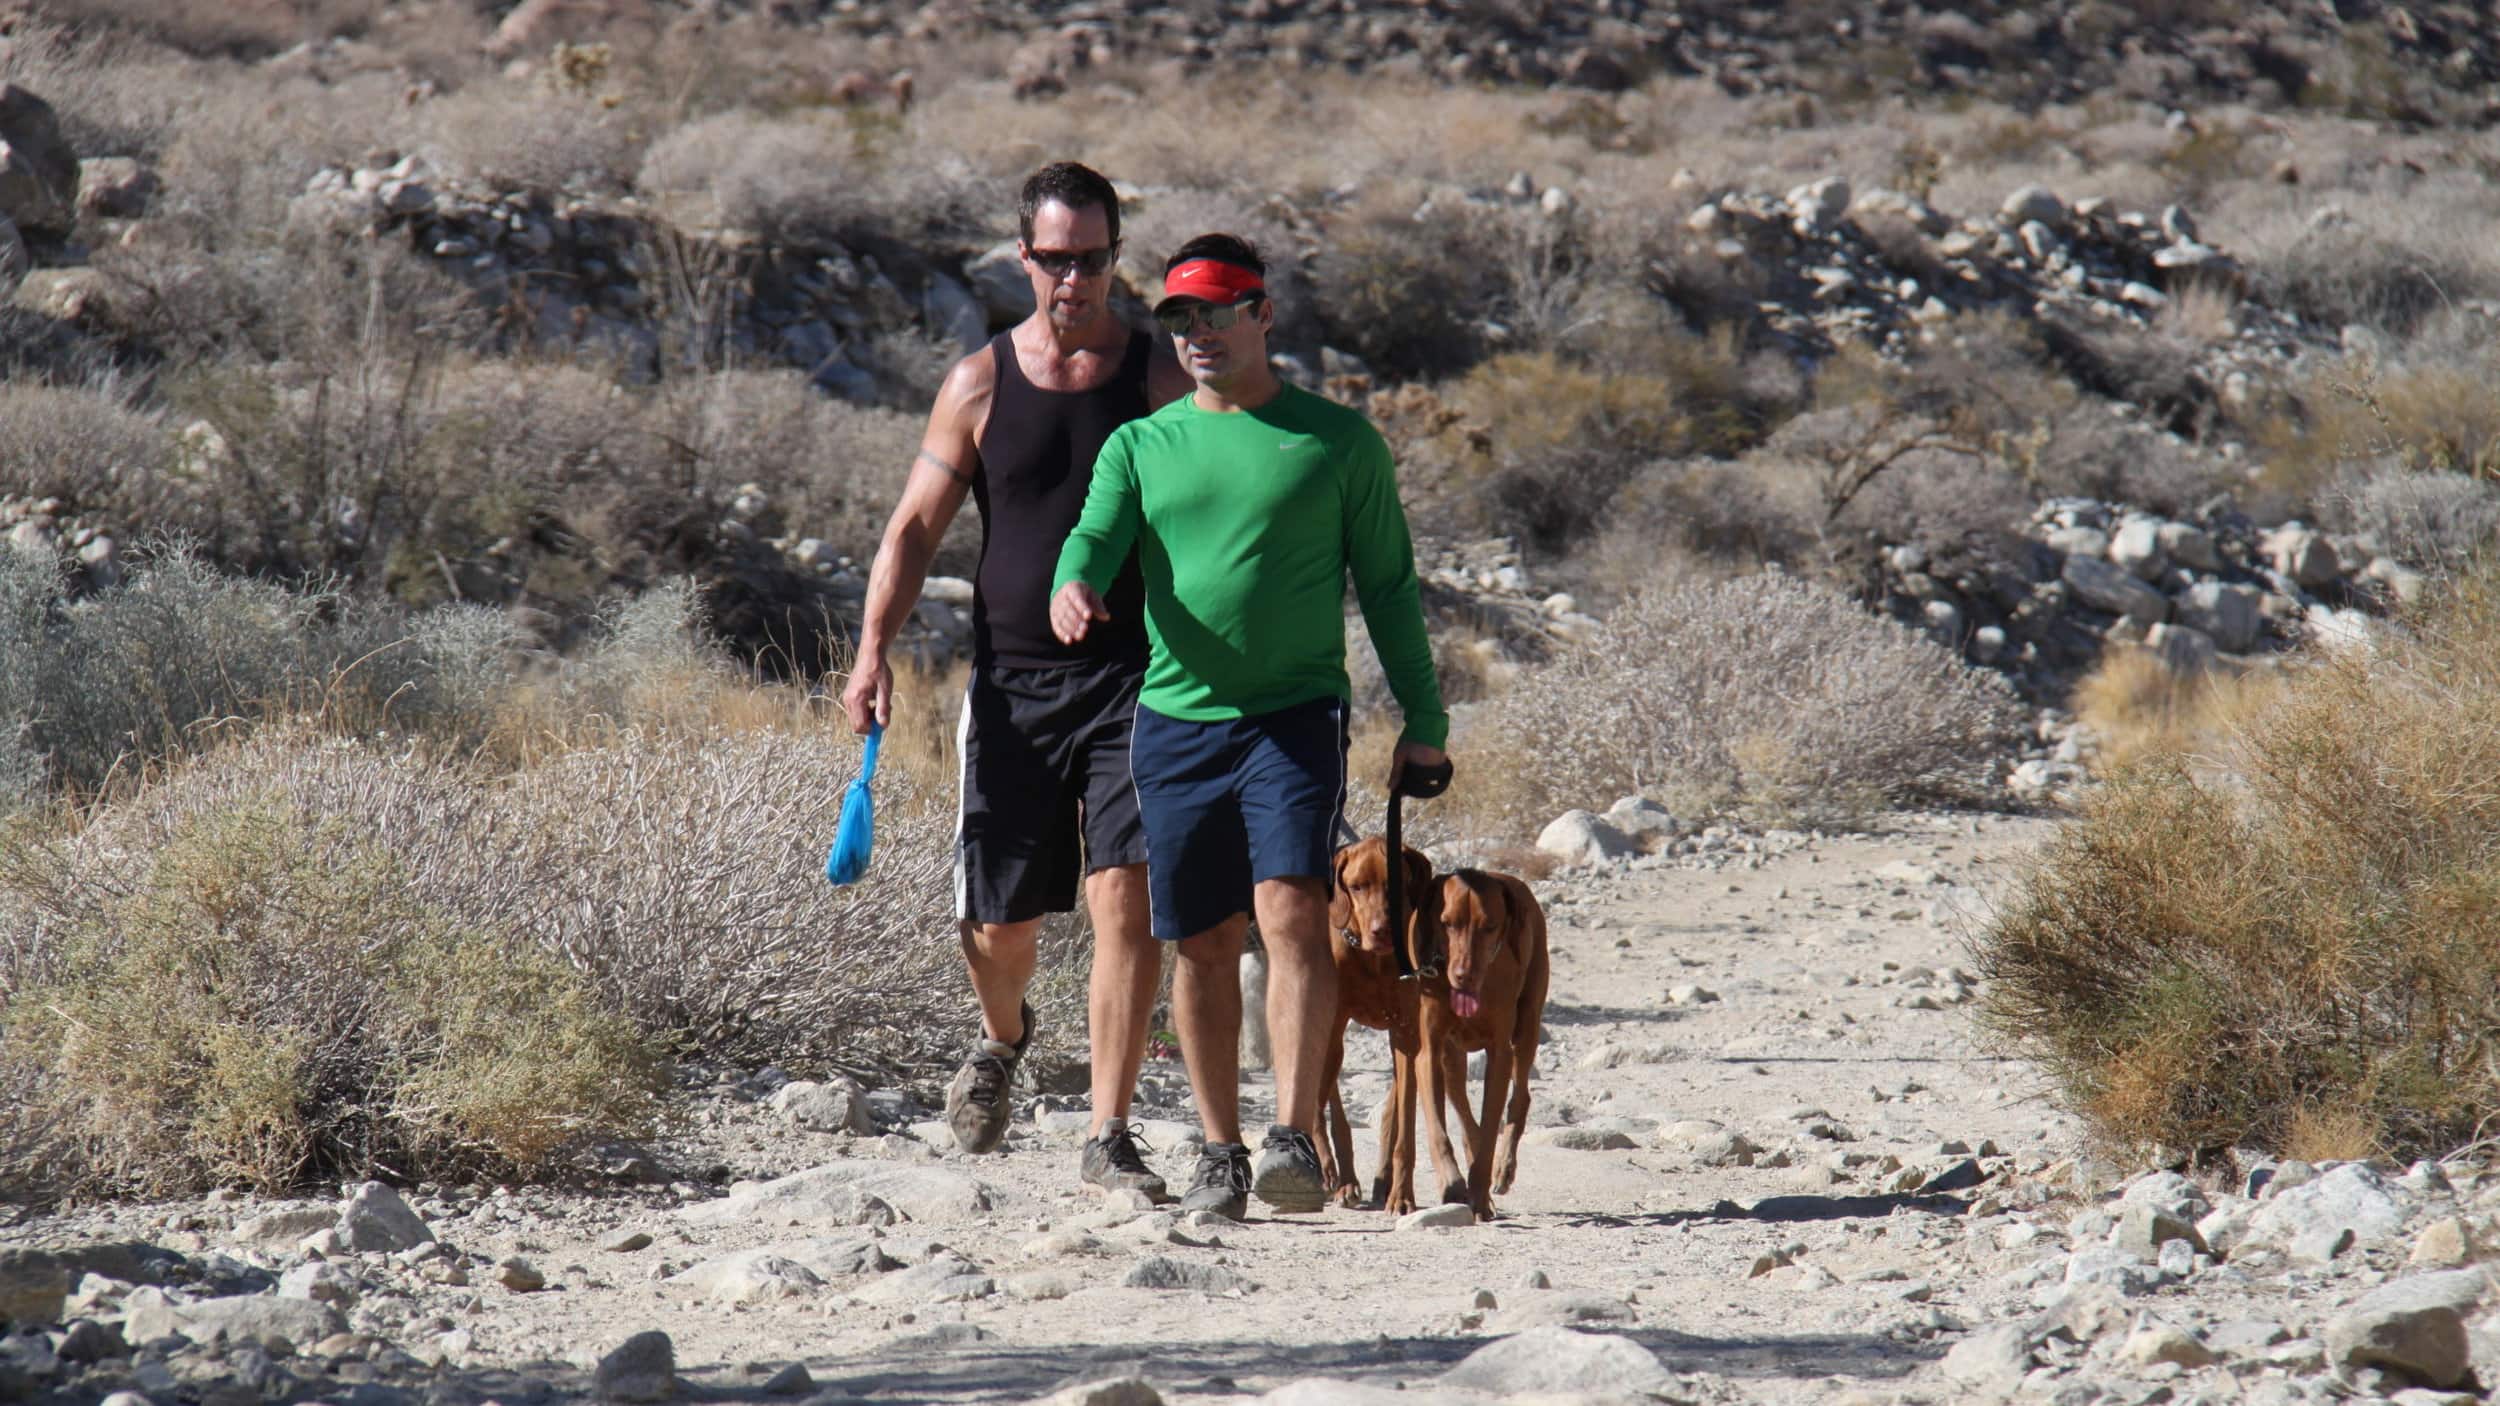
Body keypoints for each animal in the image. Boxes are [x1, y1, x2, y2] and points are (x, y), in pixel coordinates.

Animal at [1320, 835, 1470, 1210]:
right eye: (1357, 886)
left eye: (1396, 885)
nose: (1381, 931)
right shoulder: (1331, 1028)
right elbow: (1327, 1111)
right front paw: (1335, 1174)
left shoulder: (1406, 1033)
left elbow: (1405, 1125)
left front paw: (1402, 1195)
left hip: (1439, 1050)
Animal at [1420, 865, 1550, 1215]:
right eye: (1447, 922)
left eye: (1489, 927)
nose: (1462, 976)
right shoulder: (1430, 1049)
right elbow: (1439, 1128)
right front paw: (1452, 1182)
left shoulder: (1500, 1053)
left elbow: (1491, 1126)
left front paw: (1479, 1191)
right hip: (1452, 1056)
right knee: (1463, 1111)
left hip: (1528, 1025)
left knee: (1520, 1098)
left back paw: (1503, 1168)